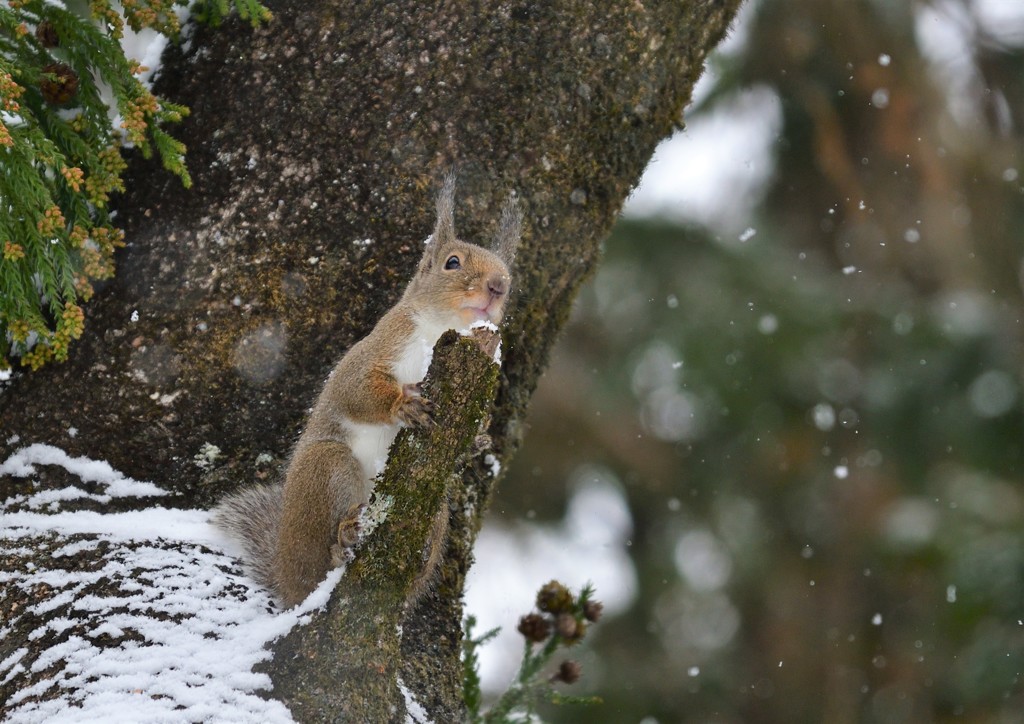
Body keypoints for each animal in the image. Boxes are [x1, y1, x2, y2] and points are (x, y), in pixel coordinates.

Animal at [212, 174, 524, 606]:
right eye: (452, 262)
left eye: (508, 277)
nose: (497, 286)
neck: (444, 332)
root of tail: (286, 575)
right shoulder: (377, 350)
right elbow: (357, 391)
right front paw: (403, 404)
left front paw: (478, 440)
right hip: (326, 469)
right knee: (320, 554)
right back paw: (342, 539)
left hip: (438, 512)